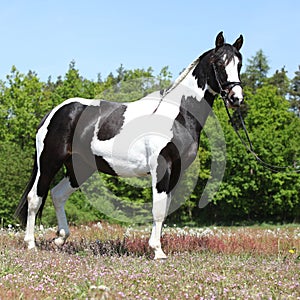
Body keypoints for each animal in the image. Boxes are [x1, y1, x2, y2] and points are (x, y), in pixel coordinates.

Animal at [14, 32, 244, 258]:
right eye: (219, 63)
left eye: (239, 64)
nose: (236, 98)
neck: (178, 114)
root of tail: (55, 112)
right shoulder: (161, 167)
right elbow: (157, 210)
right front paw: (157, 251)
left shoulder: (176, 172)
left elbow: (164, 209)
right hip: (49, 162)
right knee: (35, 197)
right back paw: (31, 244)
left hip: (79, 168)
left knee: (57, 195)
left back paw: (60, 238)